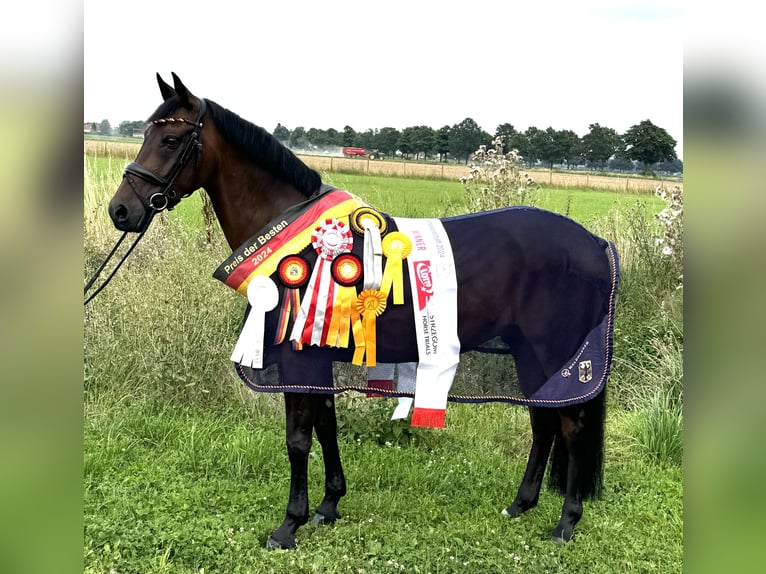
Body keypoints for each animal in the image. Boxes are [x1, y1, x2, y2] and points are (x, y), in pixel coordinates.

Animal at [106, 74, 616, 552]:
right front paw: (328, 505)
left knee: (570, 426)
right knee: (543, 421)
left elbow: (298, 438)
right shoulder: (317, 353)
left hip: (551, 352)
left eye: (171, 140)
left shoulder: (298, 357)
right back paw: (521, 504)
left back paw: (565, 523)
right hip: (527, 351)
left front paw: (288, 525)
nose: (121, 210)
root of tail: (592, 243)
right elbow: (326, 426)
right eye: (147, 134)